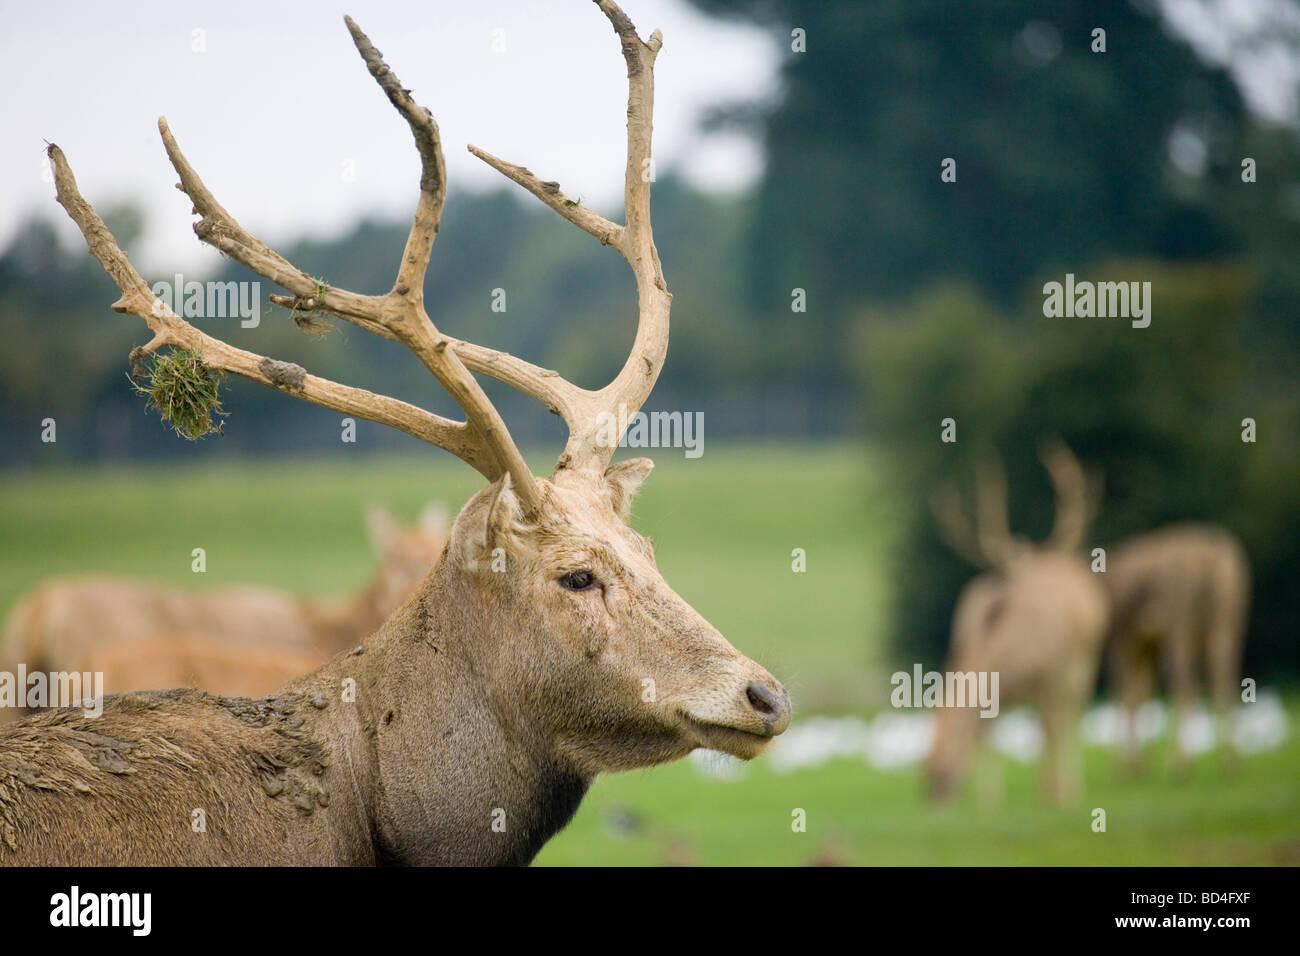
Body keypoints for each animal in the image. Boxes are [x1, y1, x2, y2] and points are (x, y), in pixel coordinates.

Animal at [925, 442, 1107, 806]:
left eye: (945, 771)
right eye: (923, 769)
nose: (933, 804)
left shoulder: (1049, 676)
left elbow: (1051, 730)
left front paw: (1056, 794)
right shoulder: (999, 695)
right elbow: (987, 738)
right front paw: (990, 801)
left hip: (1081, 666)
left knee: (1068, 721)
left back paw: (1068, 788)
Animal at [1102, 520, 1253, 775]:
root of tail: (1209, 556)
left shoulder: (1123, 637)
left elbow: (1125, 693)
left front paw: (1124, 765)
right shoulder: (1147, 644)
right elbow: (1143, 692)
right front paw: (1142, 762)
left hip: (1180, 621)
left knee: (1185, 684)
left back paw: (1180, 765)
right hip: (1228, 621)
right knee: (1225, 680)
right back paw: (1230, 763)